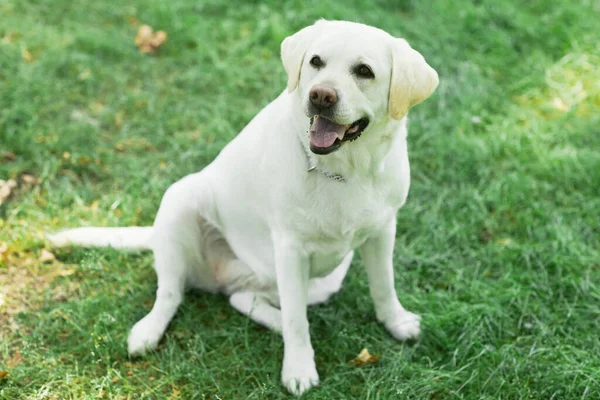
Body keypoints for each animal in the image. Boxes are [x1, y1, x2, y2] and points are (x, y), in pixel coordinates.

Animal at [49, 20, 438, 396]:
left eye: (364, 71)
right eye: (316, 62)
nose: (320, 95)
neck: (345, 171)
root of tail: (223, 275)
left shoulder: (383, 229)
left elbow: (384, 285)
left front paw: (397, 322)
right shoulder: (290, 249)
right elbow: (297, 320)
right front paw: (299, 368)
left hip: (322, 279)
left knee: (243, 299)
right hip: (180, 201)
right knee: (172, 292)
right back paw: (148, 331)